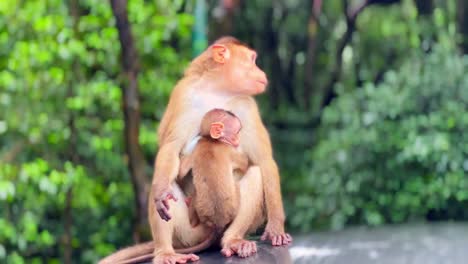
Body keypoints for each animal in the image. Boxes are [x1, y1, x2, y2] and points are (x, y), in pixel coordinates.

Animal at [100, 35, 290, 264]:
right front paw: (161, 191)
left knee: (256, 174)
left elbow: (264, 160)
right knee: (165, 188)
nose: (261, 72)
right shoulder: (184, 94)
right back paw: (165, 251)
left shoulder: (247, 105)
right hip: (189, 233)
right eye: (252, 60)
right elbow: (171, 147)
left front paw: (276, 227)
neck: (217, 90)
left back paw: (233, 241)